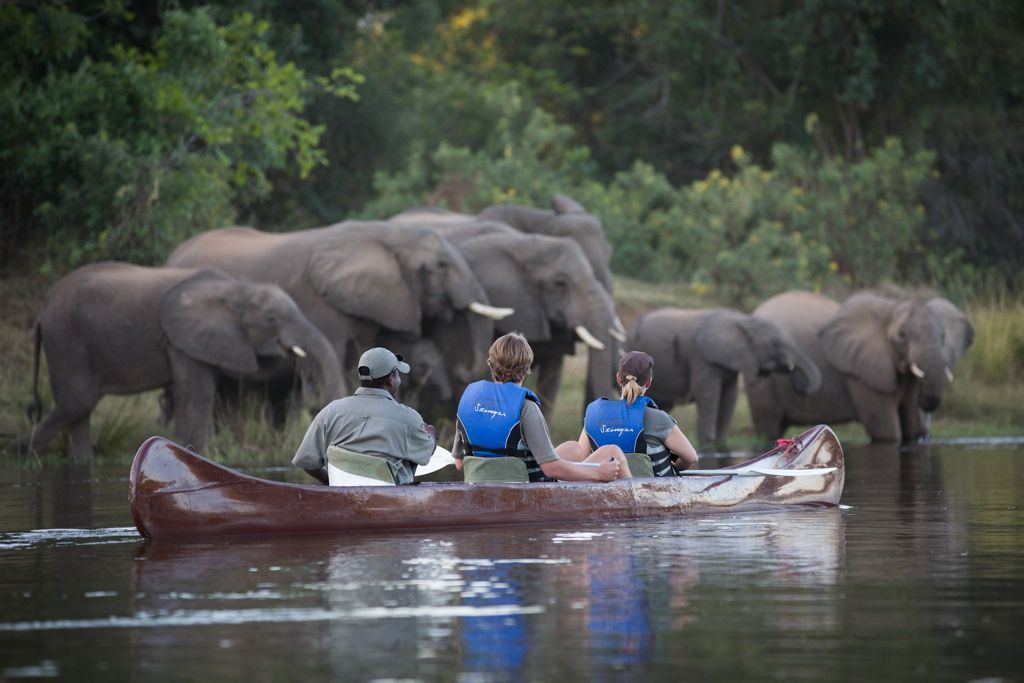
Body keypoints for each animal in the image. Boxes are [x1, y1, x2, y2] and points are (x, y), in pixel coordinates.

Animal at [17, 262, 344, 459]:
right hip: (66, 339)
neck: (236, 288)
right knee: (77, 403)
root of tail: (42, 313)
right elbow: (199, 395)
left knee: (78, 411)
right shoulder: (183, 340)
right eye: (271, 319)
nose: (314, 394)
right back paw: (20, 451)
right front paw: (201, 455)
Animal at [627, 308, 822, 447]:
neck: (744, 321)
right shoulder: (703, 358)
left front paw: (720, 441)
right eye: (775, 344)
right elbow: (708, 394)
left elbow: (730, 396)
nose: (792, 370)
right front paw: (708, 441)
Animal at [747, 290, 973, 444]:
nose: (927, 436)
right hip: (761, 381)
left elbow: (909, 421)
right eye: (902, 335)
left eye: (943, 336)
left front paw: (914, 434)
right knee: (769, 425)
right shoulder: (862, 375)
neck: (890, 310)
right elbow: (887, 431)